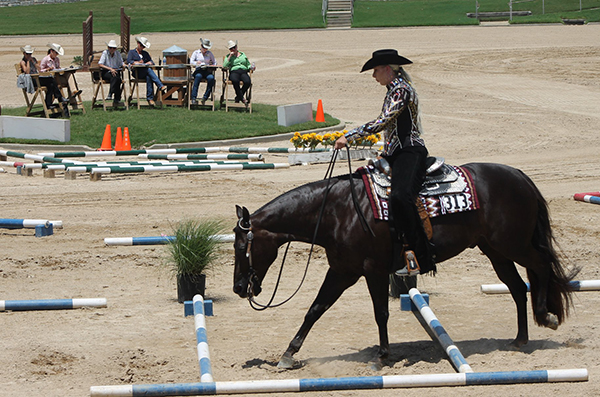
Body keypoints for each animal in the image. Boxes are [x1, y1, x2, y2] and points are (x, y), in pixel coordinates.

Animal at [233, 160, 576, 368]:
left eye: (241, 246)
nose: (238, 287)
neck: (337, 211)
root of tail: (519, 175)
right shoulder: (343, 270)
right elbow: (316, 309)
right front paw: (288, 355)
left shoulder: (371, 270)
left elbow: (380, 313)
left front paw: (382, 355)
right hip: (496, 251)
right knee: (517, 287)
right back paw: (520, 339)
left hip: (513, 245)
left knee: (541, 265)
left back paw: (545, 315)